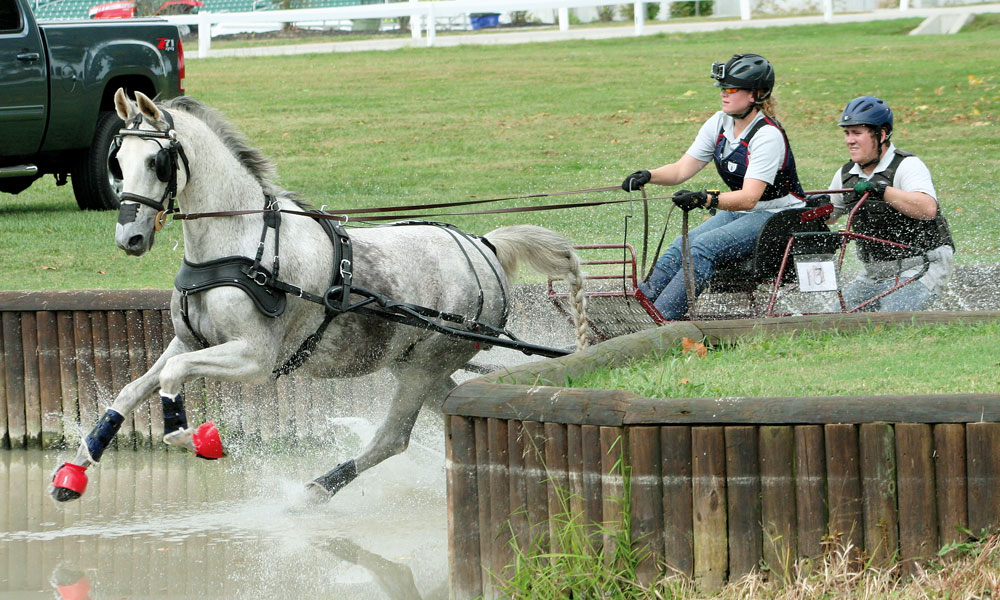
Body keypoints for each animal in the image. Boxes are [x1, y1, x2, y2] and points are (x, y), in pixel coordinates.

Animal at [48, 89, 584, 502]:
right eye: (117, 160)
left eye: (157, 161)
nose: (130, 238)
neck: (243, 243)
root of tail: (485, 247)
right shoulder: (191, 341)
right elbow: (133, 388)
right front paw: (76, 468)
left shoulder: (255, 358)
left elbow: (172, 378)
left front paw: (191, 436)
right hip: (415, 363)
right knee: (442, 406)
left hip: (426, 362)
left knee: (393, 438)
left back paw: (314, 492)